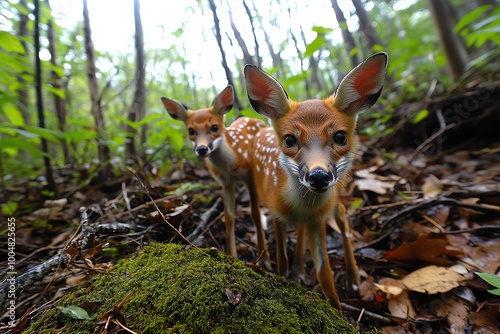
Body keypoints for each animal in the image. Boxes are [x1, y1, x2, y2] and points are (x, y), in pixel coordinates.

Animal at [161, 85, 272, 268]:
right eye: (191, 131)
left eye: (214, 127)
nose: (202, 149)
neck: (231, 163)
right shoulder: (226, 182)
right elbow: (228, 216)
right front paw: (232, 255)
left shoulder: (249, 176)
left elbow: (254, 214)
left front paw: (265, 260)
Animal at [244, 52, 388, 310]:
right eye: (290, 140)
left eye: (339, 136)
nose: (318, 175)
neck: (298, 205)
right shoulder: (277, 214)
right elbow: (282, 261)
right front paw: (286, 276)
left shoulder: (318, 219)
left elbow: (325, 273)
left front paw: (337, 310)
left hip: (335, 200)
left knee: (344, 220)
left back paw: (352, 277)